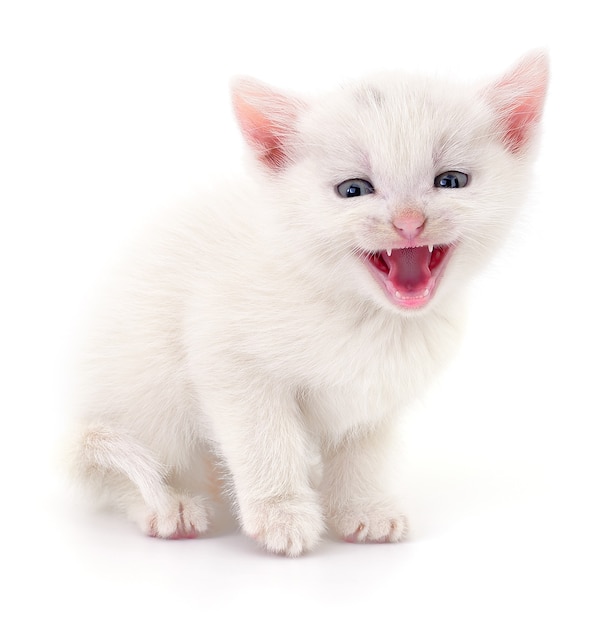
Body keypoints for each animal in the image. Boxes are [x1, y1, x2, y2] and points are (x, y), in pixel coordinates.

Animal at [67, 51, 548, 552]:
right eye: (353, 189)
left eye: (450, 180)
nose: (409, 223)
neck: (366, 315)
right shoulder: (227, 359)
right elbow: (265, 439)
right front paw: (280, 513)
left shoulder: (376, 399)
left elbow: (364, 453)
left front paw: (362, 509)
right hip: (140, 390)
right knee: (122, 469)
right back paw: (172, 505)